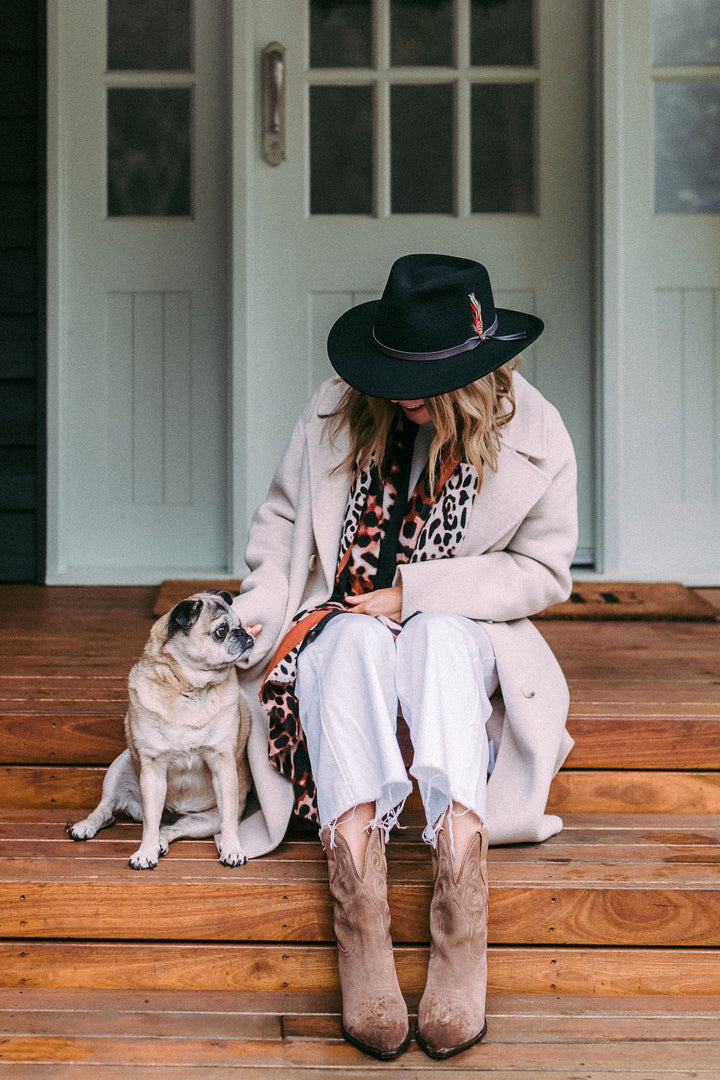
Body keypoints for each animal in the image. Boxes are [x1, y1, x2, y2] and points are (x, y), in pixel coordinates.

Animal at [66, 591, 259, 868]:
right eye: (221, 631)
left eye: (240, 624)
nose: (244, 633)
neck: (188, 688)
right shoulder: (153, 768)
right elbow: (150, 822)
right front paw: (144, 852)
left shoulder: (223, 765)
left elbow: (229, 820)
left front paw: (232, 848)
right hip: (119, 769)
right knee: (108, 811)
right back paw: (85, 826)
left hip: (204, 821)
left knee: (170, 828)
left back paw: (162, 841)